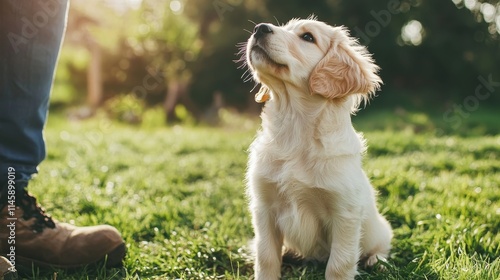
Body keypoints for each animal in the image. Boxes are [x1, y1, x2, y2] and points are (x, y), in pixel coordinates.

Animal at [244, 18, 392, 280]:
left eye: (308, 37)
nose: (259, 28)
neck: (294, 128)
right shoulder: (264, 207)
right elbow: (266, 256)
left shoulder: (345, 213)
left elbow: (339, 264)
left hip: (380, 229)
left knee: (382, 246)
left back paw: (377, 261)